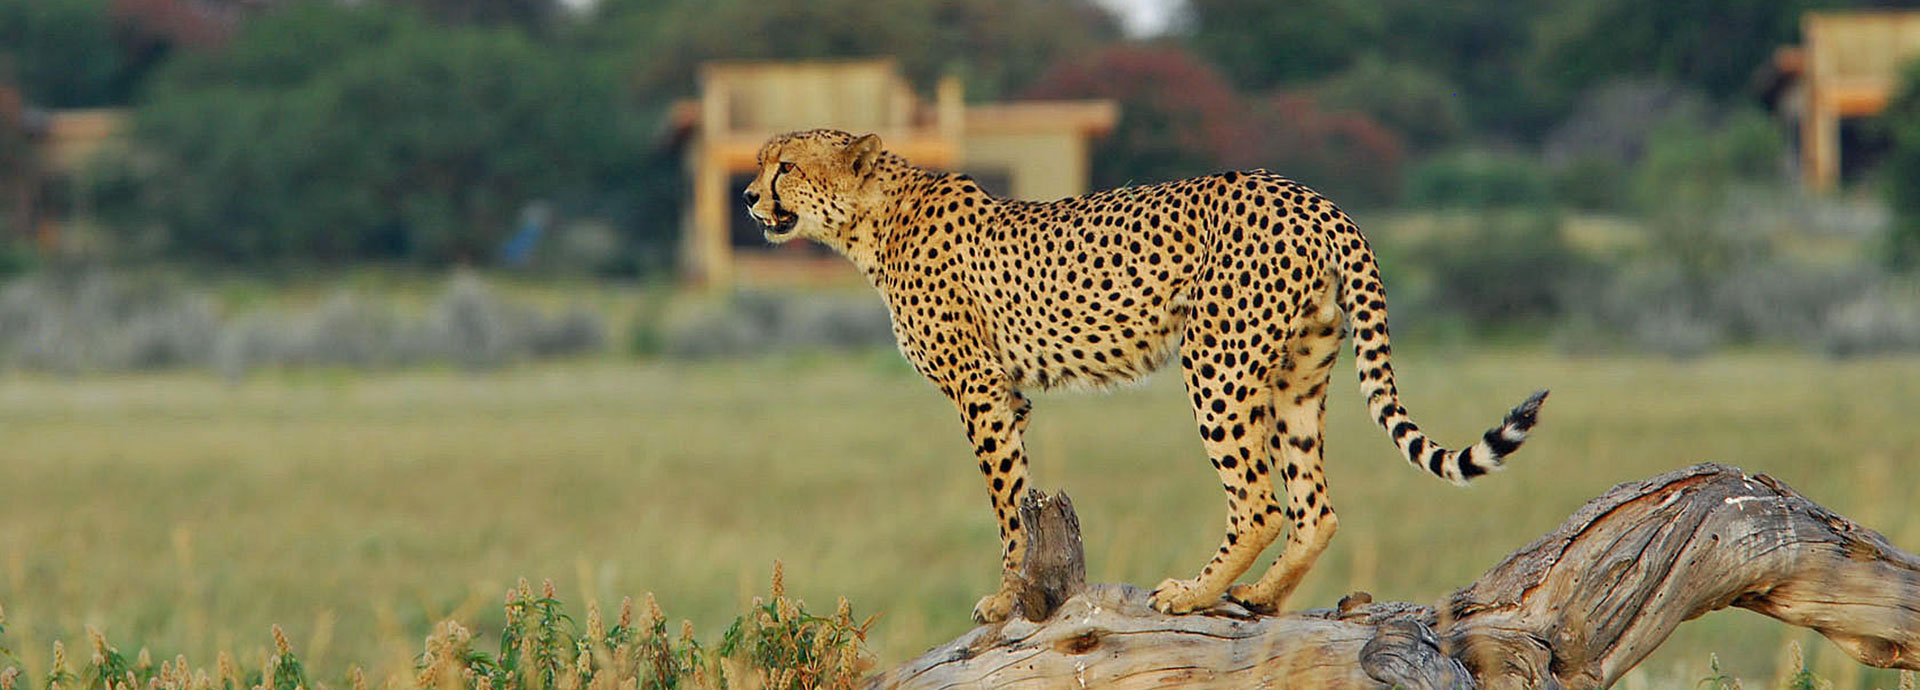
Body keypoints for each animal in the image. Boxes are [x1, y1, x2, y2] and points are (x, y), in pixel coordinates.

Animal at [742, 128, 1549, 623]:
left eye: (785, 166)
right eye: (759, 162)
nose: (748, 198)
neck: (875, 221)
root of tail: (1314, 198)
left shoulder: (980, 393)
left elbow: (1005, 508)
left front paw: (1002, 601)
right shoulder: (1011, 395)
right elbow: (1022, 495)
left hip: (1216, 362)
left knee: (1259, 502)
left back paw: (1192, 594)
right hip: (1298, 373)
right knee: (1314, 508)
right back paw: (1260, 598)